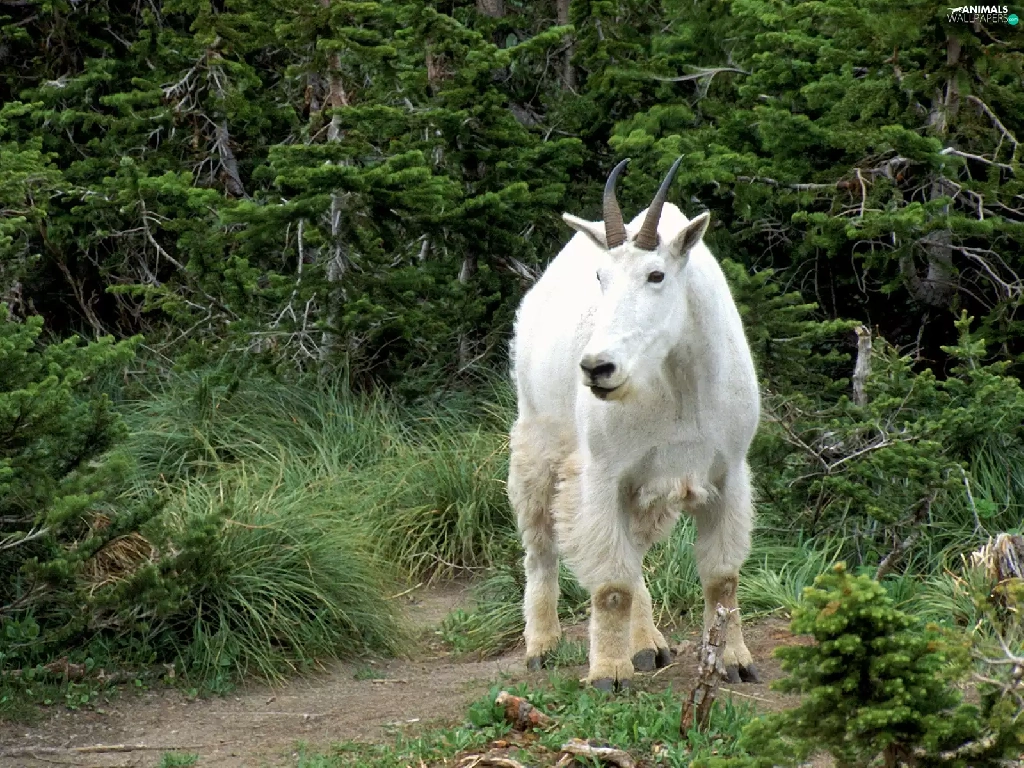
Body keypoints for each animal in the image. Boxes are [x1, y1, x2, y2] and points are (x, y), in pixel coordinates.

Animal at [506, 158, 761, 691]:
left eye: (656, 274)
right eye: (600, 276)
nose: (596, 368)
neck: (679, 383)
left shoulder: (727, 473)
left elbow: (722, 578)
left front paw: (734, 661)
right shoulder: (603, 474)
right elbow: (611, 585)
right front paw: (608, 672)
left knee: (636, 553)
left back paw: (646, 644)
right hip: (538, 438)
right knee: (540, 543)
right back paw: (542, 644)